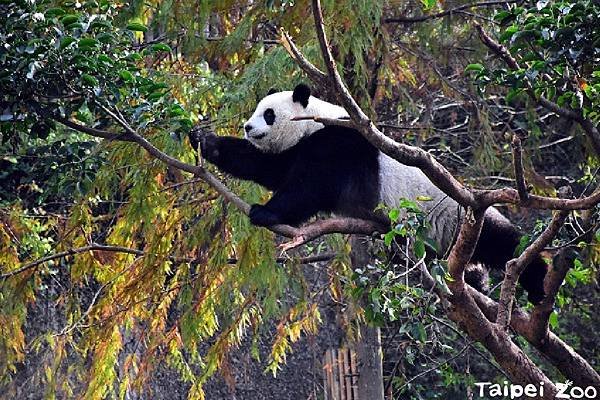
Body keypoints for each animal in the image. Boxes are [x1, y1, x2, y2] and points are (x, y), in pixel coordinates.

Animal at [196, 83, 548, 304]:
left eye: (268, 113)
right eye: (257, 110)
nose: (248, 127)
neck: (315, 121)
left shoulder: (337, 145)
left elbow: (306, 187)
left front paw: (264, 211)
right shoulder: (298, 148)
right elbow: (267, 166)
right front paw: (205, 141)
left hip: (457, 217)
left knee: (504, 242)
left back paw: (537, 284)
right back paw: (476, 282)